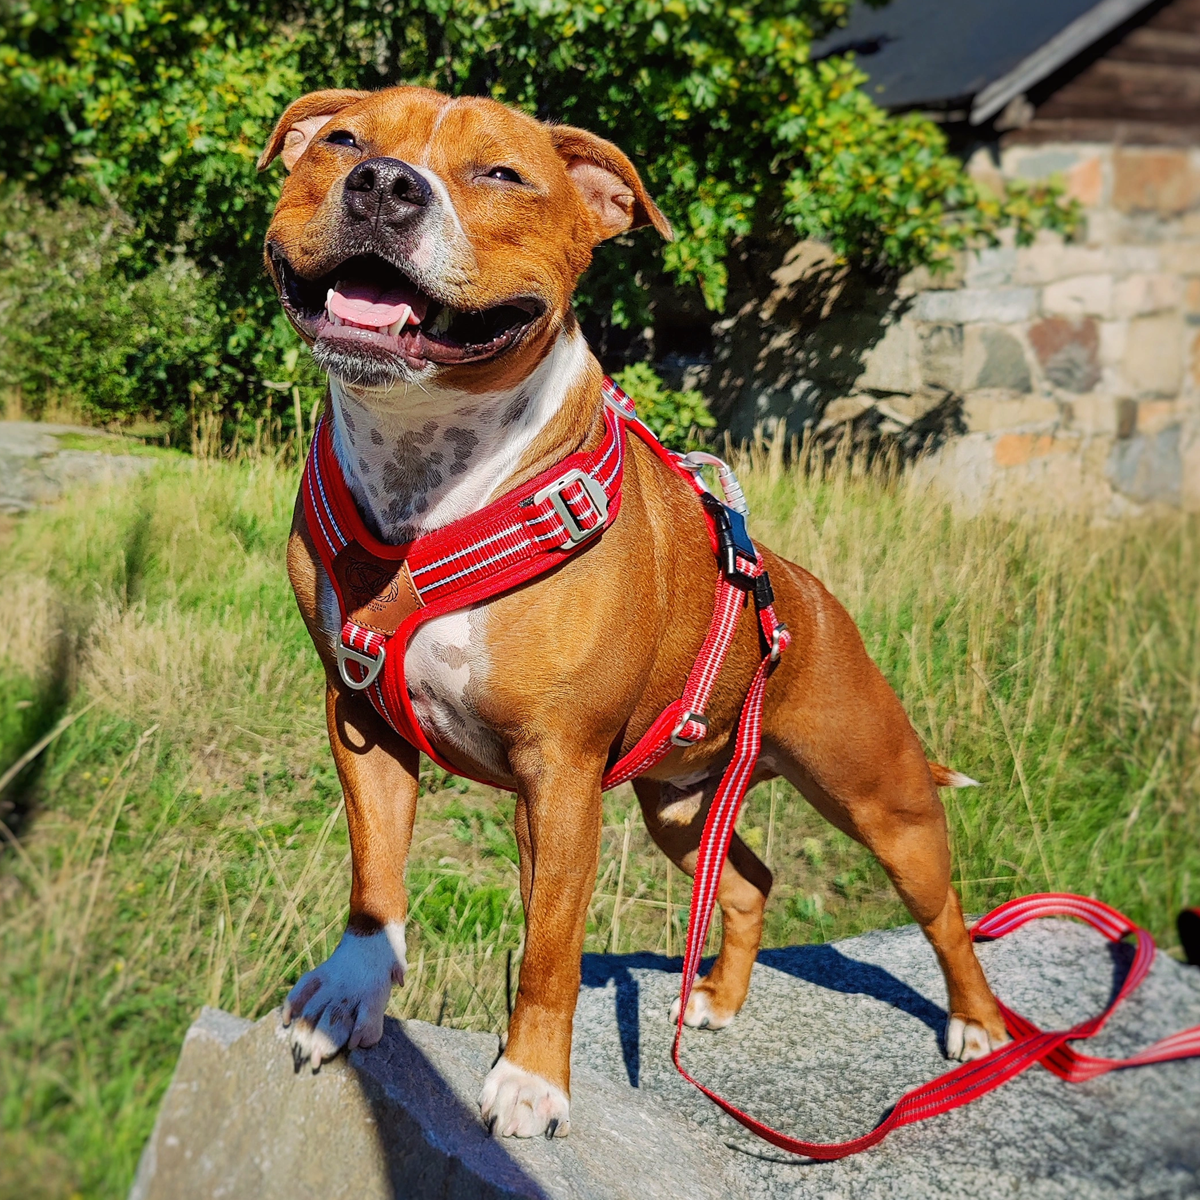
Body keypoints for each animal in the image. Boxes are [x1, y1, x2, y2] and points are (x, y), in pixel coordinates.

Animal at [258, 87, 1008, 1142]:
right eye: (341, 141)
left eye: (503, 174)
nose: (385, 185)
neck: (427, 474)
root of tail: (802, 596)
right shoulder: (362, 720)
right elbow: (376, 879)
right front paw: (346, 994)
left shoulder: (562, 776)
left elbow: (550, 947)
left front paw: (532, 1081)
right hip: (682, 807)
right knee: (750, 880)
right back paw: (717, 1000)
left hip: (881, 797)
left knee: (945, 915)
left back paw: (979, 1026)